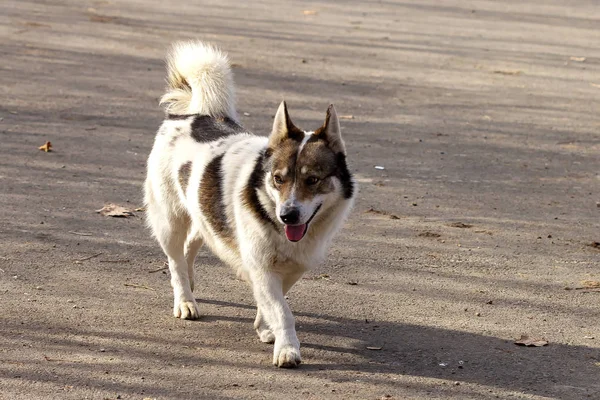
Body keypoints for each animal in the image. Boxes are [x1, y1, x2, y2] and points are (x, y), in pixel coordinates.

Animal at [143, 41, 354, 368]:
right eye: (278, 179)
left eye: (313, 180)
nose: (288, 215)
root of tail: (192, 114)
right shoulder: (262, 265)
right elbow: (283, 311)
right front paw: (287, 348)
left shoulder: (292, 266)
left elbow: (274, 300)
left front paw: (266, 327)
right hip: (170, 220)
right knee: (175, 259)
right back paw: (185, 300)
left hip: (204, 215)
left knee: (191, 245)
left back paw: (191, 281)